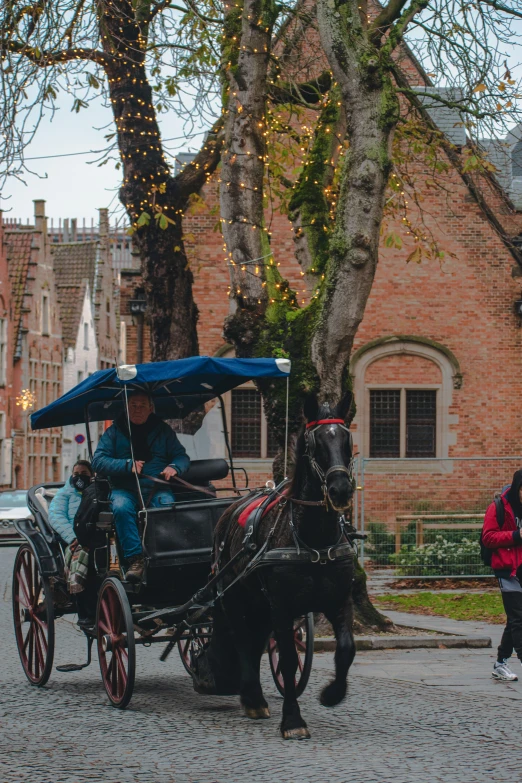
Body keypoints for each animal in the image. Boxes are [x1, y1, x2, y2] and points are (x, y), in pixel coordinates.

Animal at [201, 396, 356, 740]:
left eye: (347, 439)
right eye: (314, 445)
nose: (341, 490)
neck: (313, 540)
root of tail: (228, 511)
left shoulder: (339, 601)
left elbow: (346, 649)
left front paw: (332, 694)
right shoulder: (283, 608)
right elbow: (286, 661)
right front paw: (293, 720)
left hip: (258, 602)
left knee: (256, 640)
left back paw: (253, 697)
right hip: (234, 597)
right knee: (243, 640)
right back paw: (253, 698)